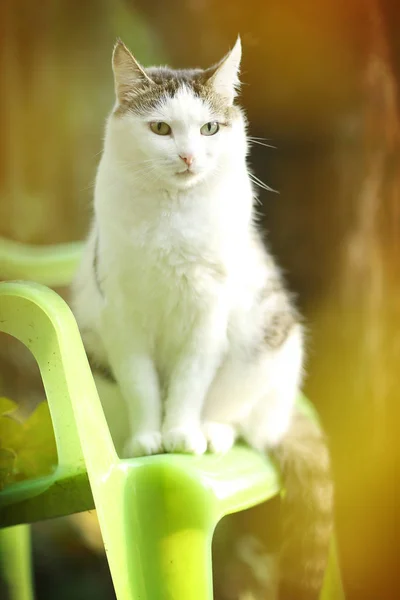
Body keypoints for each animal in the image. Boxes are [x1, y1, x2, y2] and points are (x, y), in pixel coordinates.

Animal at [70, 39, 332, 596]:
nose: (189, 156)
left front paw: (181, 435)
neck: (173, 215)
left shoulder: (208, 315)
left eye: (210, 128)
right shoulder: (123, 319)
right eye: (160, 128)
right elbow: (143, 386)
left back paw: (210, 433)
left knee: (241, 420)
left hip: (269, 343)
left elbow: (190, 382)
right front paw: (149, 439)